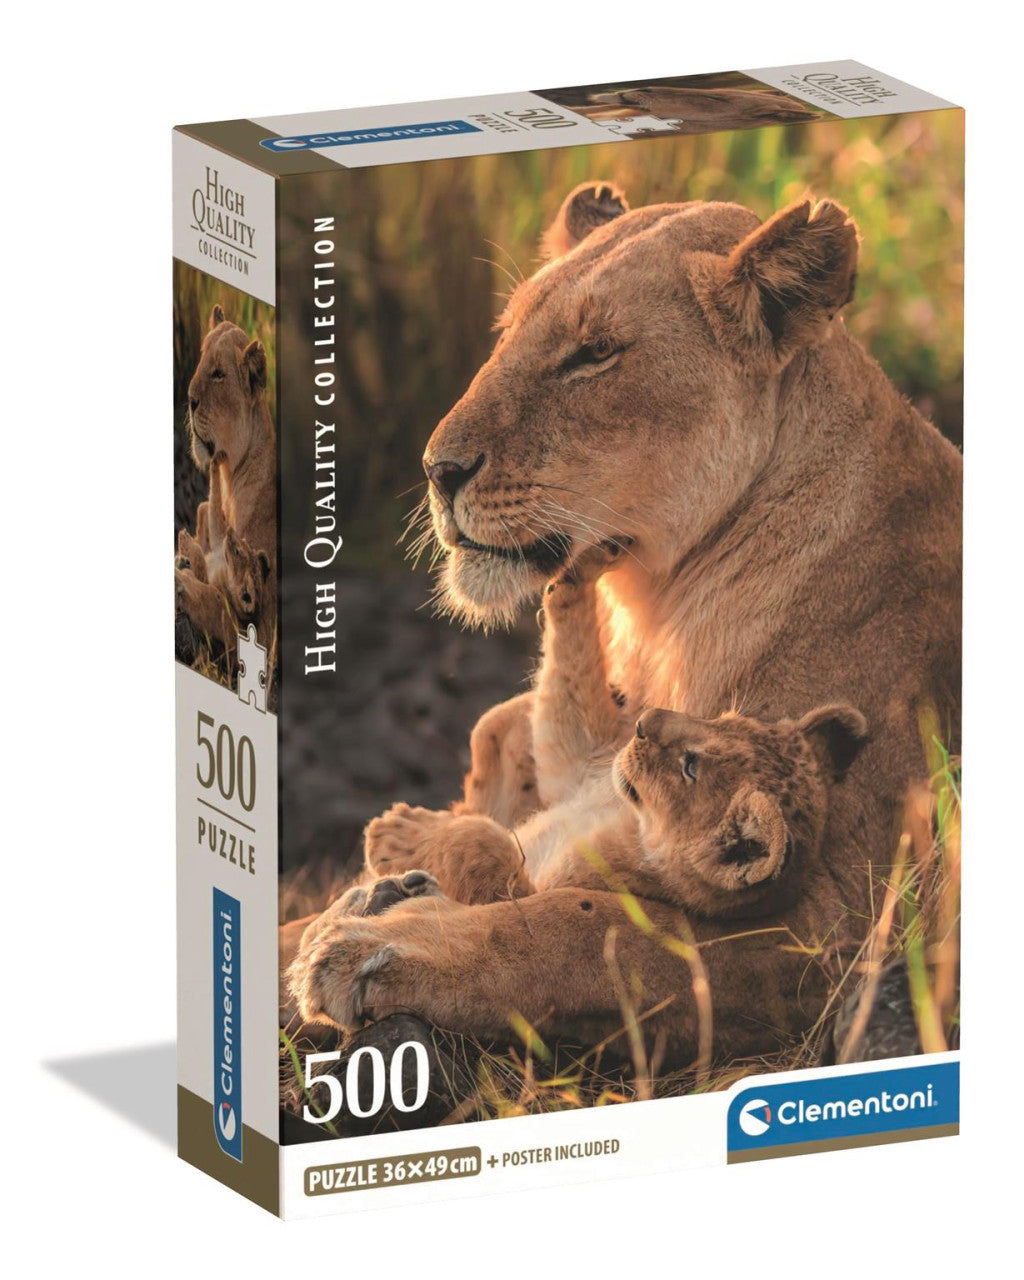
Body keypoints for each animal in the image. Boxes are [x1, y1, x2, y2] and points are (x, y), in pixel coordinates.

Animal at [286, 182, 961, 1065]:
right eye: (508, 331)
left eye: (594, 353)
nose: (437, 471)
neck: (662, 606)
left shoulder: (835, 919)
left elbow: (579, 932)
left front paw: (379, 942)